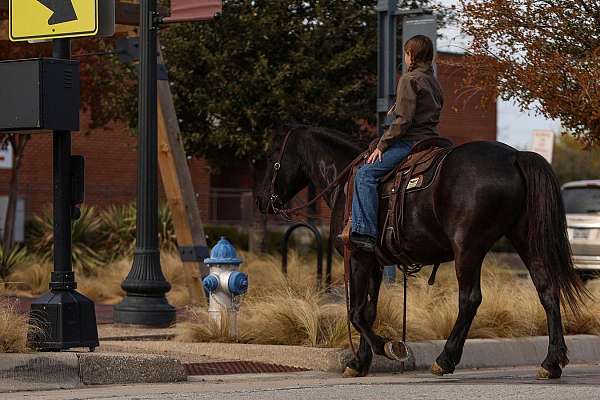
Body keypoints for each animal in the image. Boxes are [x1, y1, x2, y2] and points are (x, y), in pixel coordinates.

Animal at [256, 126, 584, 380]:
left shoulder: (358, 257)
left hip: (468, 247)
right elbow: (368, 310)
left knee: (470, 299)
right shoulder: (374, 262)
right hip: (526, 241)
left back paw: (445, 359)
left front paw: (387, 347)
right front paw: (359, 363)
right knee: (547, 291)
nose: (261, 201)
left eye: (272, 158)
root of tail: (516, 156)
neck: (345, 181)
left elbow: (356, 312)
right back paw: (551, 362)